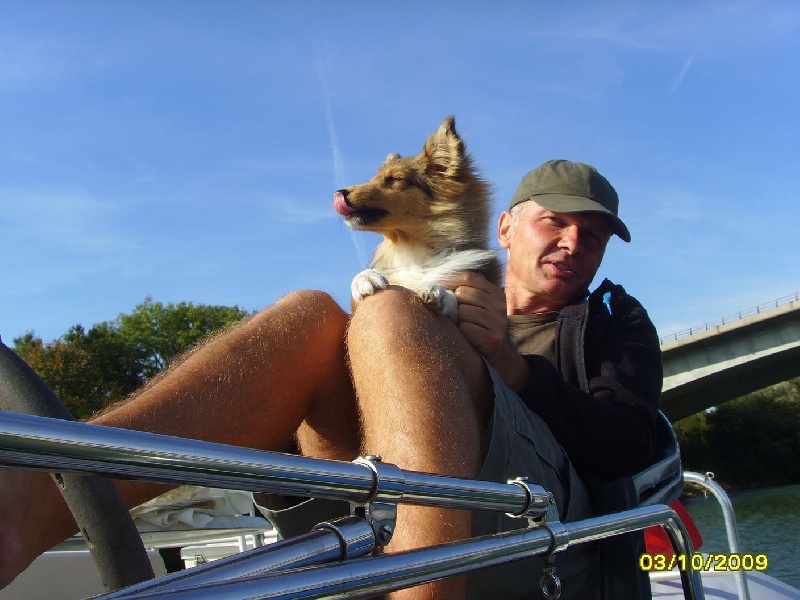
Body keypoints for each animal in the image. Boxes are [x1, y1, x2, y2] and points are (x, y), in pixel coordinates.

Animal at [333, 116, 501, 320]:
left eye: (395, 179)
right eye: (373, 179)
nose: (339, 193)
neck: (411, 251)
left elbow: (454, 299)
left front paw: (437, 292)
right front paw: (365, 277)